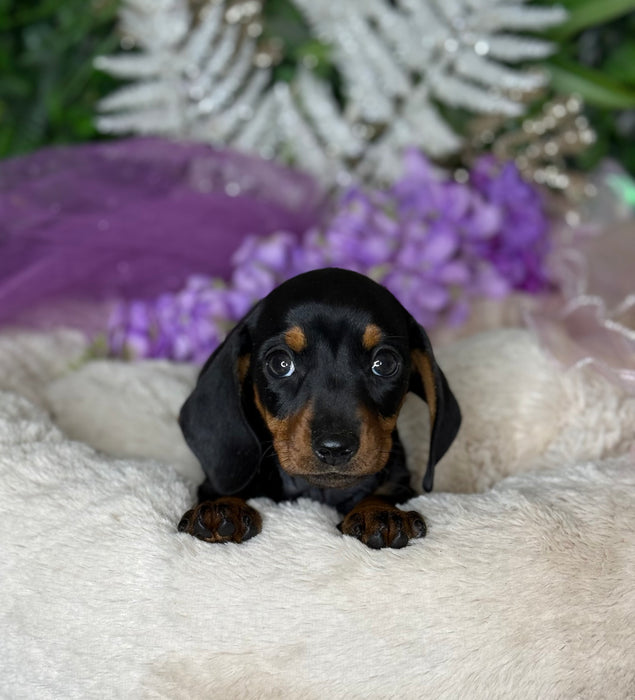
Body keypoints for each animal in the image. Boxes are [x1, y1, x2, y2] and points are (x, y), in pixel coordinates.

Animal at [179, 266, 462, 548]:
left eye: (384, 363)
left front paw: (379, 512)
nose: (335, 448)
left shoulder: (400, 481)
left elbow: (385, 491)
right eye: (280, 363)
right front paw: (223, 506)